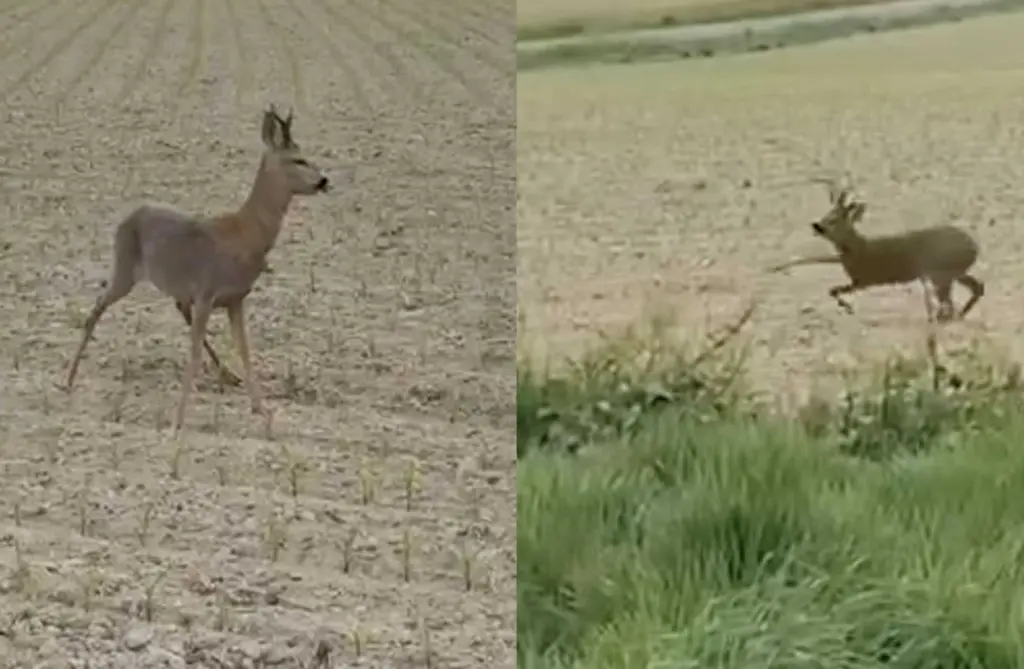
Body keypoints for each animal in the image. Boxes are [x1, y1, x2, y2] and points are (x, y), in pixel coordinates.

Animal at [61, 104, 331, 434]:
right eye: (297, 159)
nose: (323, 180)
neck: (247, 234)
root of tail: (129, 217)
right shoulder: (207, 291)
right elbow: (194, 352)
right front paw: (179, 419)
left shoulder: (235, 298)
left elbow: (244, 349)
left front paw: (261, 409)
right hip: (125, 268)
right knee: (97, 307)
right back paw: (69, 378)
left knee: (174, 309)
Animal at [769, 177, 984, 323]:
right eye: (827, 215)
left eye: (834, 219)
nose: (816, 226)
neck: (858, 249)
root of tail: (974, 246)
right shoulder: (856, 278)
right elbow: (831, 288)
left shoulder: (863, 280)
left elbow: (834, 290)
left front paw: (848, 307)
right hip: (952, 272)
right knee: (975, 288)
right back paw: (958, 315)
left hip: (941, 274)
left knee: (950, 301)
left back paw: (946, 318)